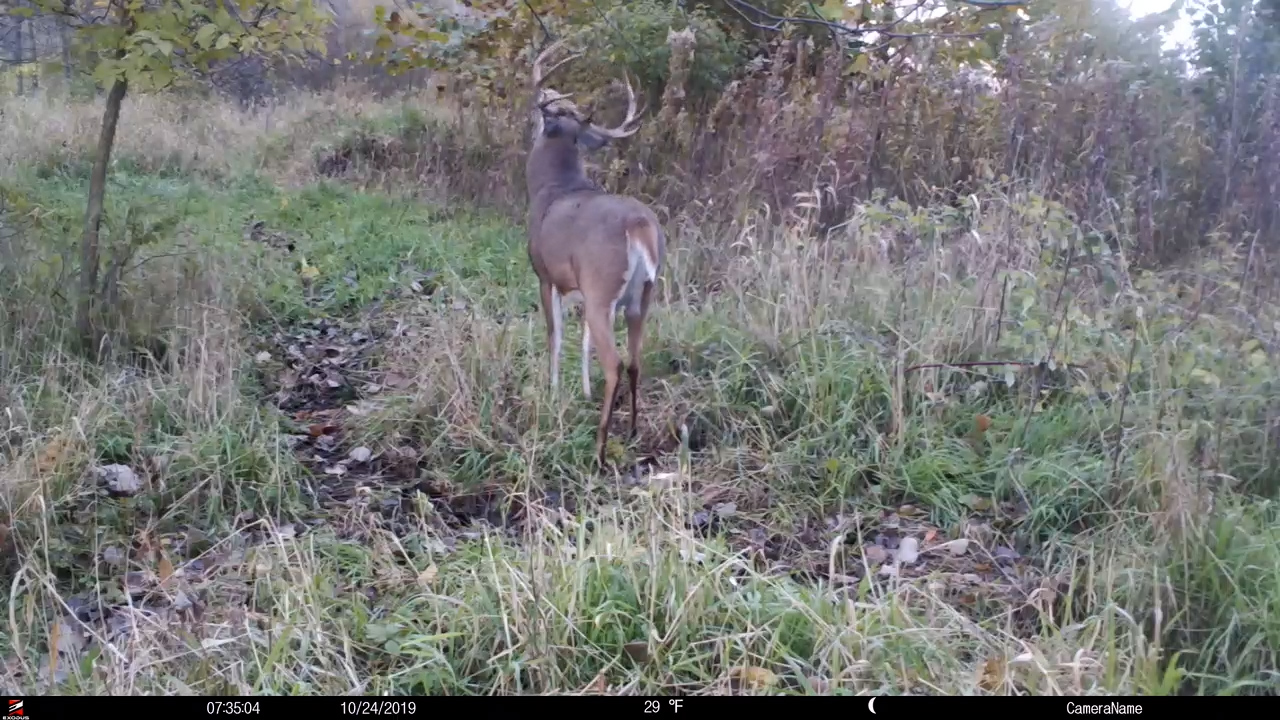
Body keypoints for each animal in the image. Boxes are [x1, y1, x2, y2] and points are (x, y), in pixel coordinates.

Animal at [524, 39, 666, 468]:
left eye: (550, 104)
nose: (546, 94)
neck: (552, 187)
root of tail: (639, 226)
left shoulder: (545, 275)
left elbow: (554, 335)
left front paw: (553, 391)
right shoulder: (583, 288)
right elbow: (582, 339)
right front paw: (583, 392)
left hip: (605, 288)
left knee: (615, 362)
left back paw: (599, 448)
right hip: (642, 296)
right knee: (636, 360)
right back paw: (633, 429)